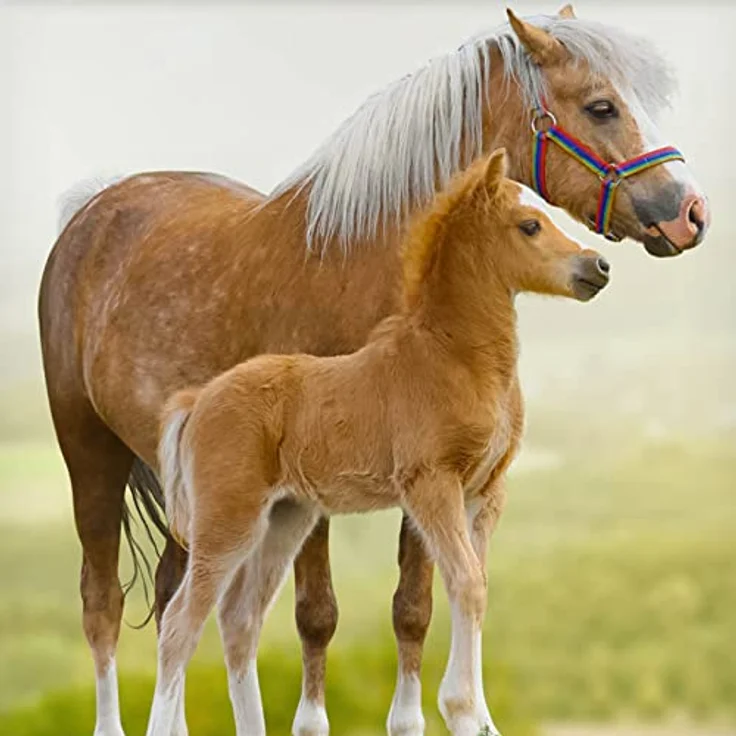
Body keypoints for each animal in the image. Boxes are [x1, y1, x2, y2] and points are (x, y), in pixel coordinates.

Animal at [147, 148, 610, 736]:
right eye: (529, 225)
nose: (597, 267)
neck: (455, 357)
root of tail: (199, 399)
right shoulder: (431, 484)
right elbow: (466, 583)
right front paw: (461, 710)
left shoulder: (485, 492)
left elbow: (478, 584)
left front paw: (480, 717)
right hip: (228, 518)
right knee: (180, 624)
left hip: (286, 517)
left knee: (240, 619)